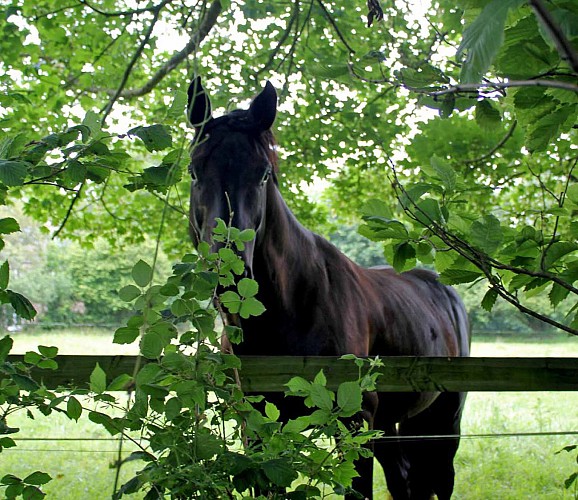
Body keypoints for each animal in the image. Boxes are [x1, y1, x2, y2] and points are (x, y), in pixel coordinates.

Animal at [184, 75, 468, 500]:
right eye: (194, 171)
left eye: (263, 174)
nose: (229, 274)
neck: (293, 306)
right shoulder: (258, 427)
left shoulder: (354, 422)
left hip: (442, 423)